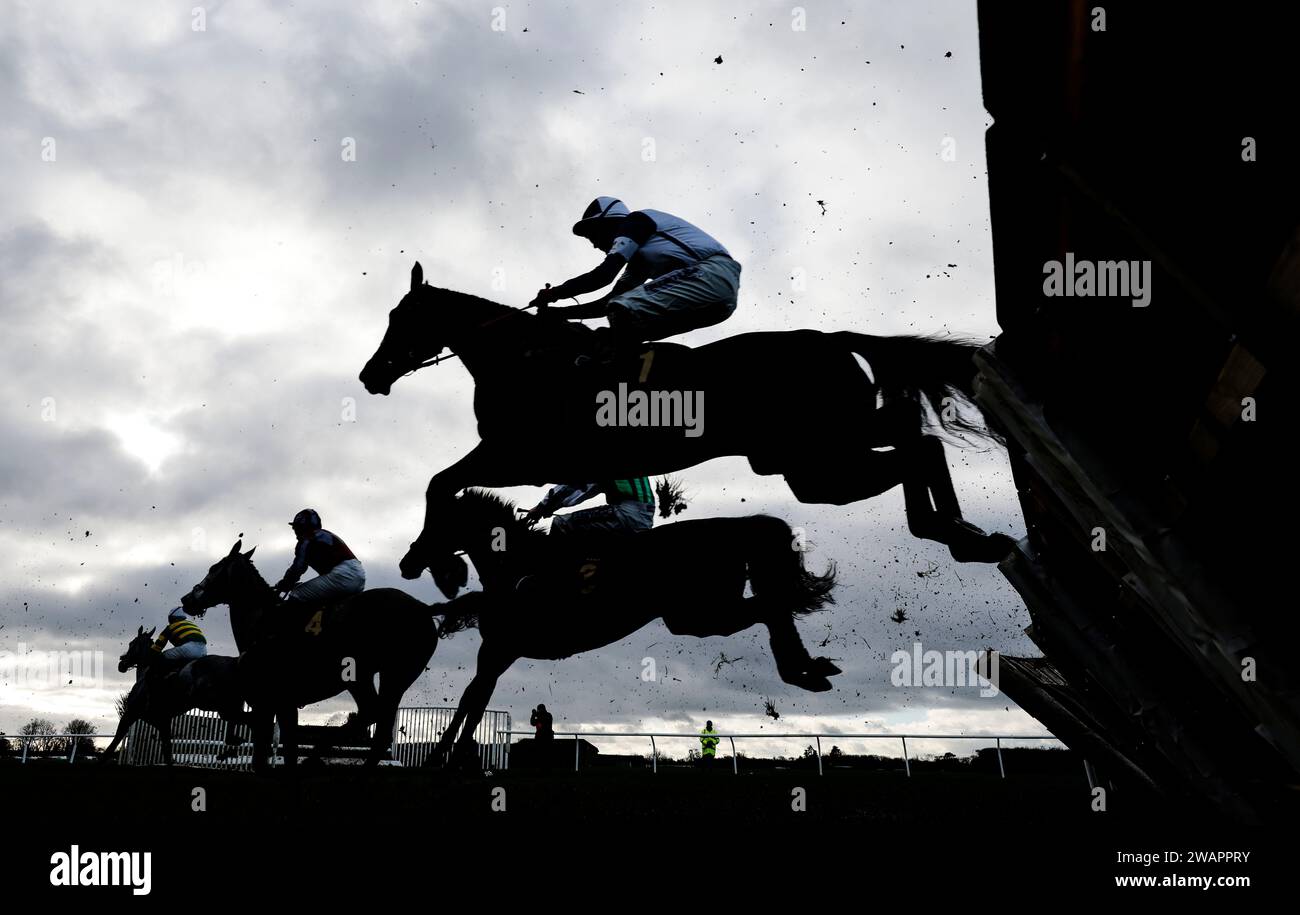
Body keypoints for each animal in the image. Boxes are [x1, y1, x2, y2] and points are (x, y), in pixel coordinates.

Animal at [101, 629, 248, 764]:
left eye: (131, 643)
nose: (122, 664)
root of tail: (235, 661)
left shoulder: (129, 714)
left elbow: (112, 746)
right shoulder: (163, 722)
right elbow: (168, 754)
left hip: (219, 706)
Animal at [178, 540, 444, 769]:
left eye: (214, 568)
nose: (187, 598)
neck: (263, 622)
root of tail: (424, 608)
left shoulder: (271, 701)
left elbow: (268, 753)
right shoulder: (281, 704)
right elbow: (286, 747)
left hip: (373, 674)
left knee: (372, 714)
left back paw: (316, 757)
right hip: (389, 676)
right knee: (378, 723)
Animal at [356, 261, 1013, 587]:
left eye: (400, 316)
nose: (370, 374)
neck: (525, 357)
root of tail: (829, 337)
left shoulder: (520, 454)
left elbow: (440, 482)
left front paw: (430, 556)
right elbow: (447, 482)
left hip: (818, 454)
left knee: (914, 445)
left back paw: (950, 531)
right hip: (811, 456)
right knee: (916, 436)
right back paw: (962, 534)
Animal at [405, 488, 837, 769]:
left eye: (435, 522)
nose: (407, 562)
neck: (513, 568)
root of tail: (731, 527)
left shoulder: (498, 649)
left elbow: (472, 702)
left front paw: (447, 758)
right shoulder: (496, 653)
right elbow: (471, 702)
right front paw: (451, 756)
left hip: (697, 612)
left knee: (771, 607)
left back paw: (802, 670)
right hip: (696, 615)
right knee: (772, 607)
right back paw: (811, 669)